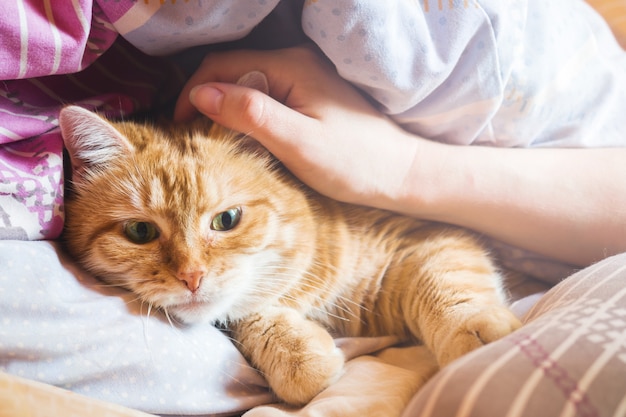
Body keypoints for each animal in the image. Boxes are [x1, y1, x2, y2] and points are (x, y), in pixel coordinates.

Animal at [58, 73, 520, 404]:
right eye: (140, 231)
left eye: (226, 219)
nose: (192, 276)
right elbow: (248, 314)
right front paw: (298, 356)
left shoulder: (424, 235)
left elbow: (446, 283)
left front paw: (478, 333)